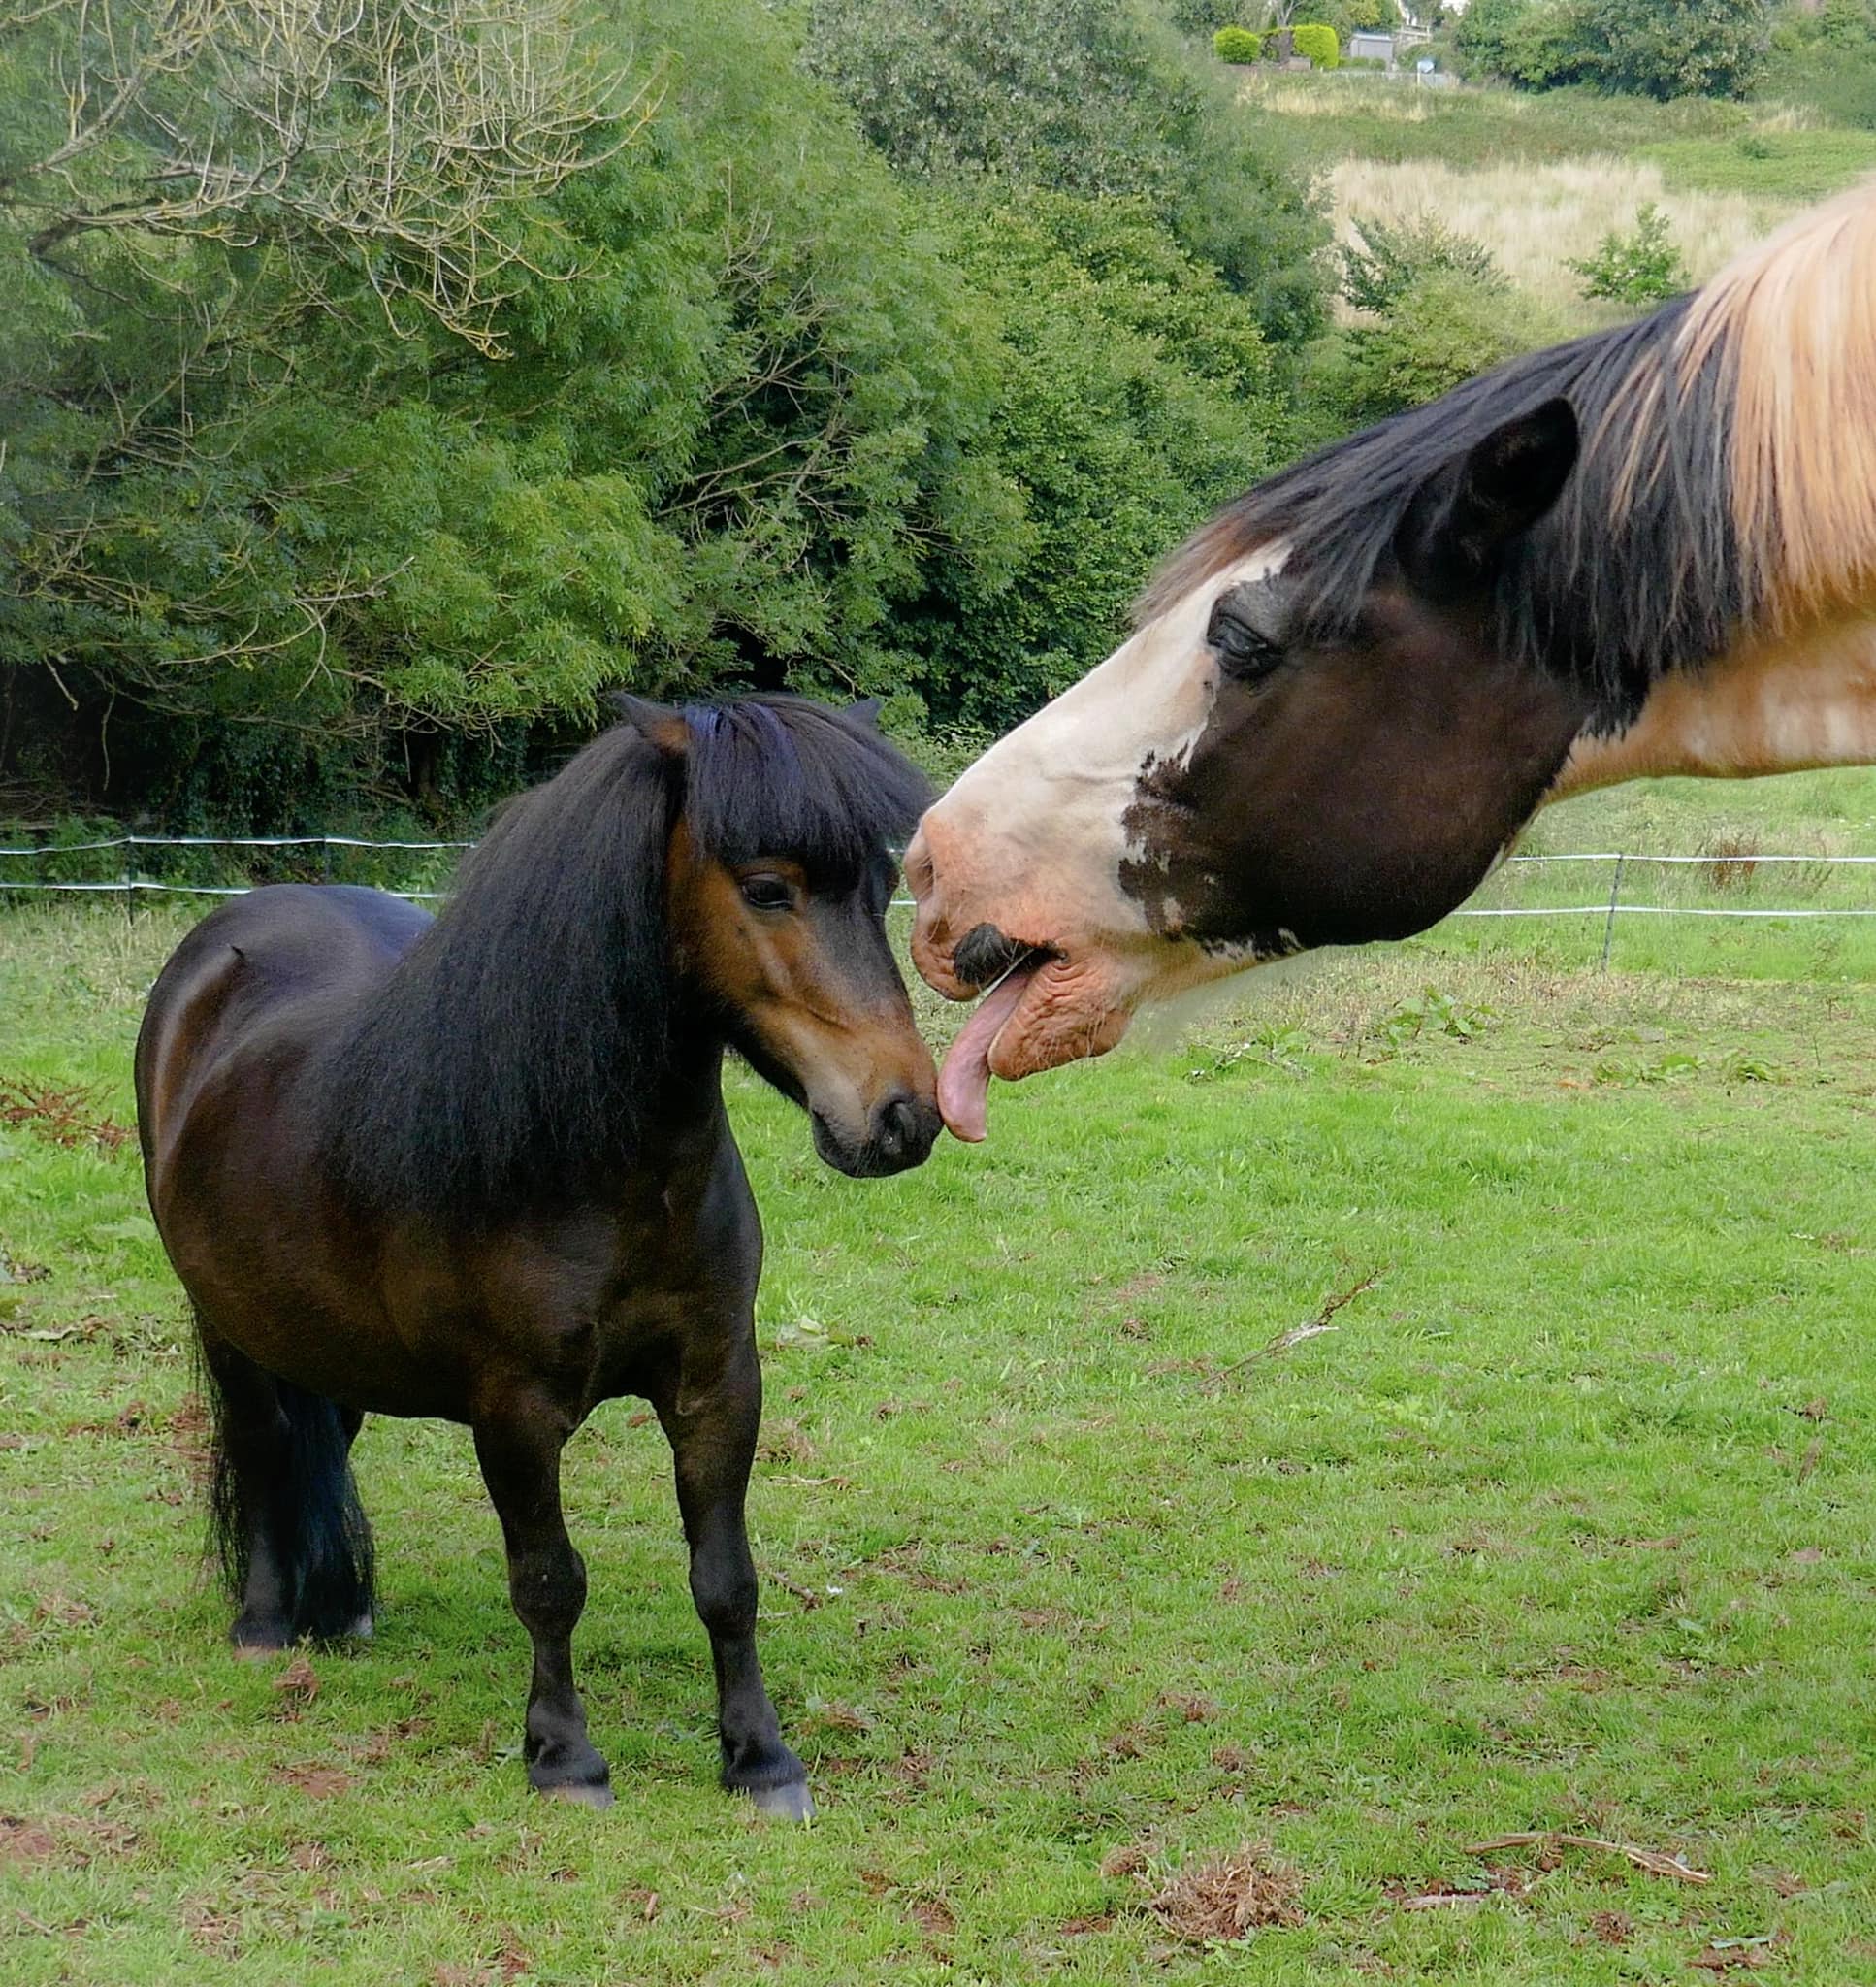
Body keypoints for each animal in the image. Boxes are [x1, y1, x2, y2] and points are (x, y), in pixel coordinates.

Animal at [134, 696, 940, 1819]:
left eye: (876, 881)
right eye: (767, 887)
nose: (902, 1116)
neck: (592, 1168)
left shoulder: (718, 1385)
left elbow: (726, 1578)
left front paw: (760, 1759)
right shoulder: (513, 1410)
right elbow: (550, 1580)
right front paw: (564, 1757)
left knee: (319, 1442)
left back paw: (340, 1610)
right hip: (232, 1325)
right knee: (263, 1449)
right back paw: (263, 1625)